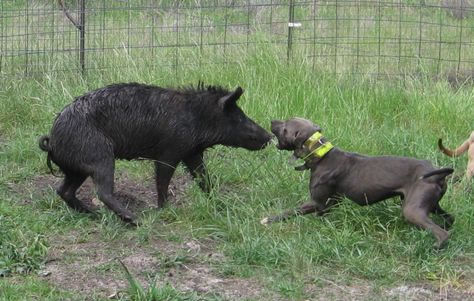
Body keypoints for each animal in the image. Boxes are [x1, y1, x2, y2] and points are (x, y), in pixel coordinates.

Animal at [262, 117, 456, 248]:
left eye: (285, 127)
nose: (271, 120)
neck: (322, 155)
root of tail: (438, 174)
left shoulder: (318, 203)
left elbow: (289, 212)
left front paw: (268, 220)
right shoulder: (331, 204)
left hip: (412, 210)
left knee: (442, 234)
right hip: (431, 205)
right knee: (449, 218)